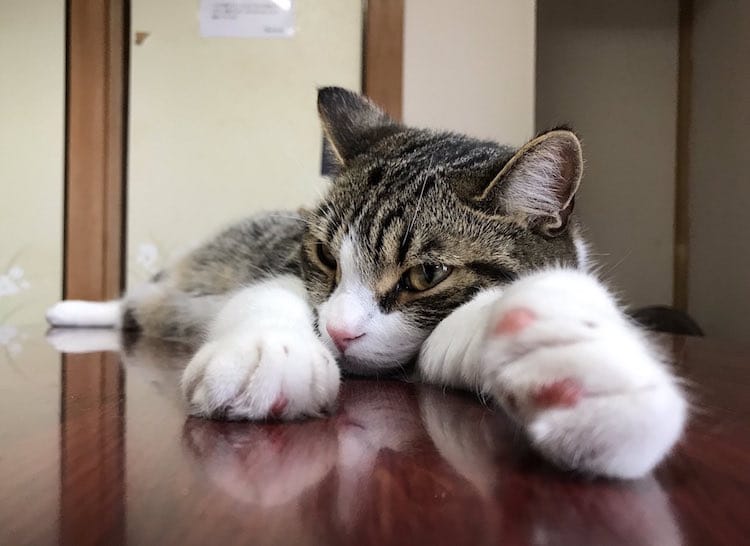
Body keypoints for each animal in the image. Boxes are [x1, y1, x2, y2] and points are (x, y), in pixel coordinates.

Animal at [47, 84, 692, 476]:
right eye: (325, 258)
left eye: (425, 275)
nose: (336, 332)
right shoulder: (283, 269)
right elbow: (267, 301)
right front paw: (268, 354)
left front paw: (580, 367)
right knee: (135, 297)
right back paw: (74, 311)